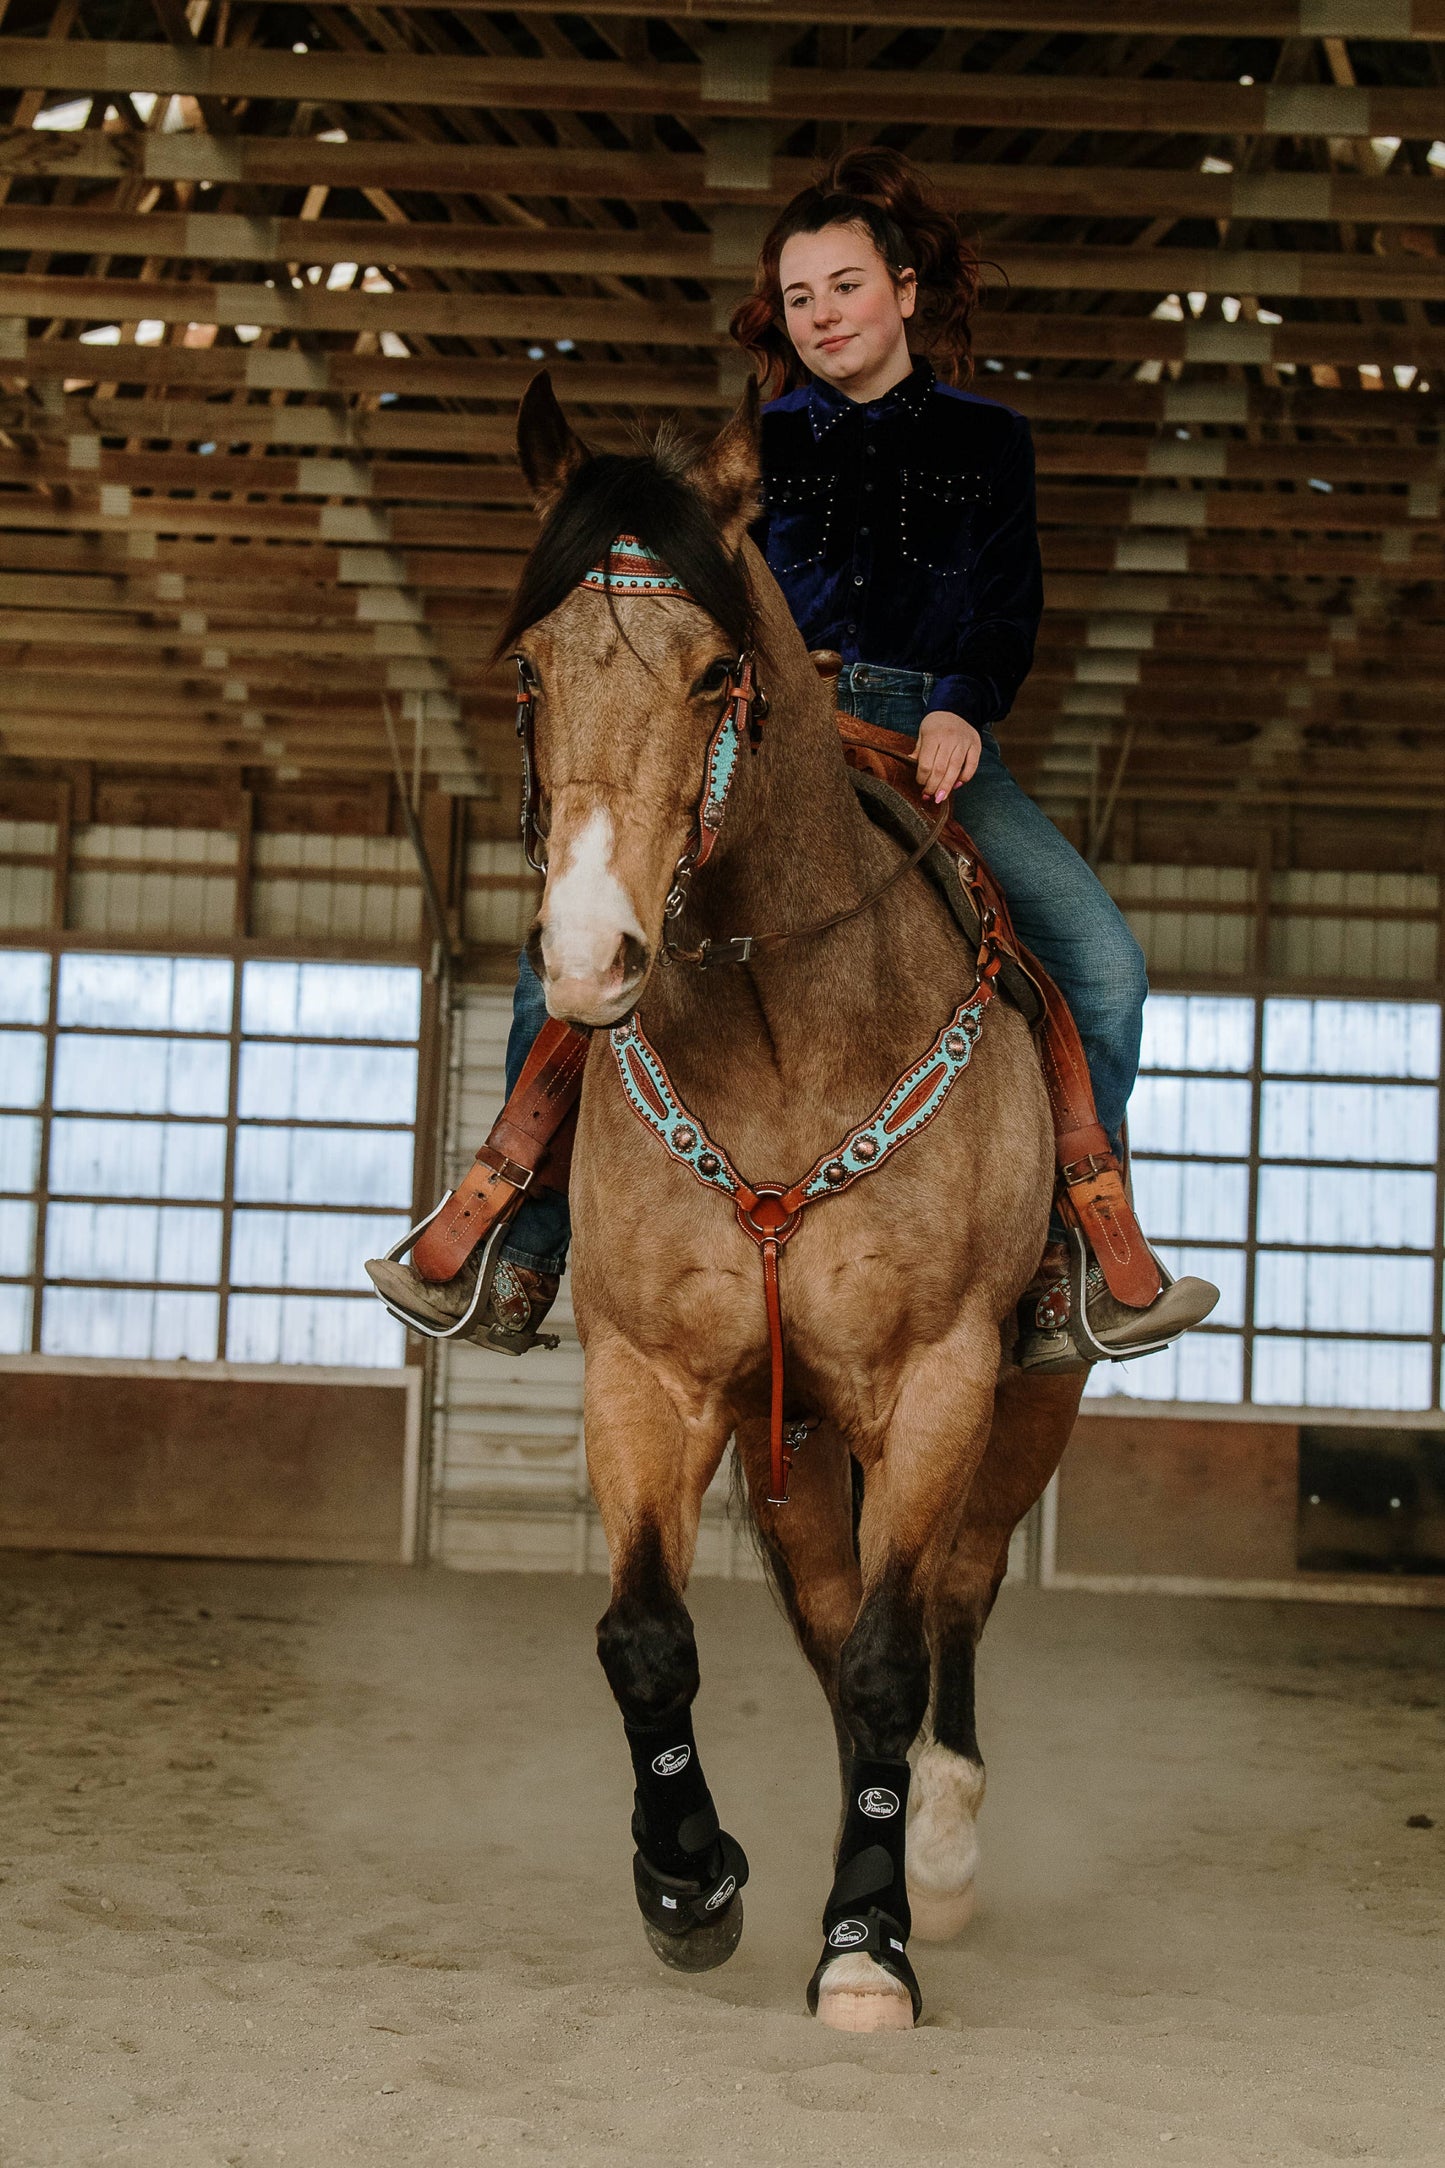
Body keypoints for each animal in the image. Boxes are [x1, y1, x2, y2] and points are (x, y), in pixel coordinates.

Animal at [463, 385, 1096, 2029]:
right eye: (530, 671)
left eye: (713, 671)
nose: (590, 956)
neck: (778, 1037)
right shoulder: (649, 1372)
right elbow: (646, 1638)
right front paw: (689, 1880)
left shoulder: (937, 1374)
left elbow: (892, 1653)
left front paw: (867, 1943)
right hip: (797, 1435)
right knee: (830, 1613)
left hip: (1018, 1402)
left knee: (948, 1595)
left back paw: (935, 1845)